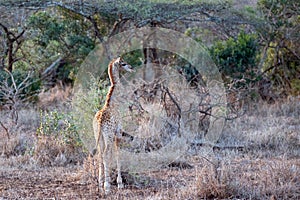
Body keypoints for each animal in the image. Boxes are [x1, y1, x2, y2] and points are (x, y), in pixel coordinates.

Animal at [91, 57, 134, 195]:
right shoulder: (118, 132)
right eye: (123, 63)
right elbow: (118, 153)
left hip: (98, 136)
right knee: (105, 154)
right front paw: (120, 183)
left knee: (99, 154)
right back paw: (107, 187)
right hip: (108, 136)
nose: (131, 68)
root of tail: (99, 122)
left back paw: (100, 184)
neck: (112, 102)